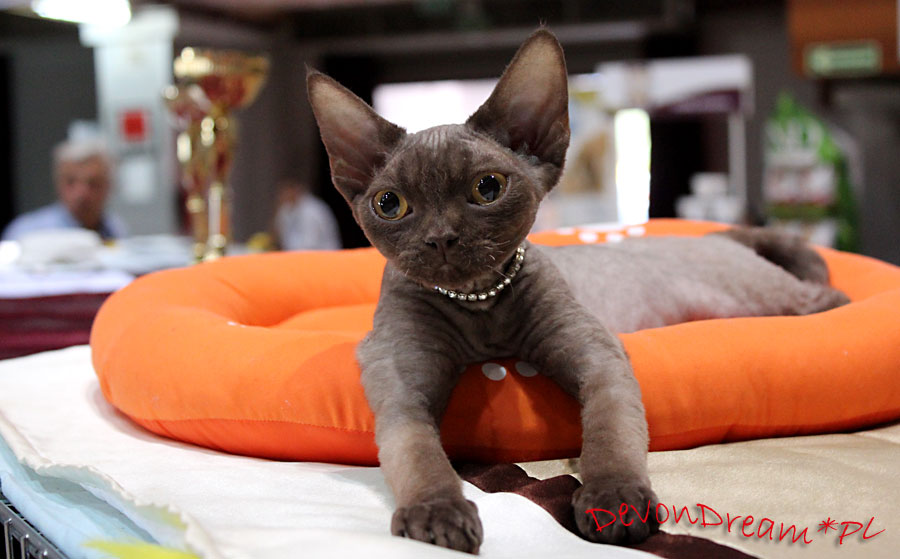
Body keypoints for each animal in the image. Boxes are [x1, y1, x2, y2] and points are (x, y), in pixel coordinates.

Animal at [307, 29, 849, 554]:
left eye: (487, 188)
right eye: (390, 204)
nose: (441, 238)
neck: (479, 305)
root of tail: (717, 234)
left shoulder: (596, 355)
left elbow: (609, 431)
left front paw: (614, 501)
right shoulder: (401, 382)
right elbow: (416, 449)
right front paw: (437, 513)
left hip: (753, 296)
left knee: (826, 299)